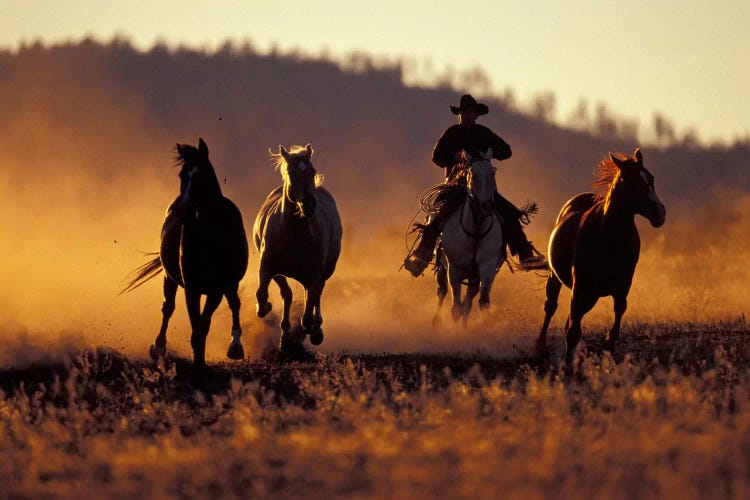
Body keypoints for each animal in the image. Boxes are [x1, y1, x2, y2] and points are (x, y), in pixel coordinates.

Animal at [123, 139, 250, 374]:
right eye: (182, 175)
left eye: (204, 175)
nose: (184, 209)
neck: (211, 235)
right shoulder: (192, 288)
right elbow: (195, 325)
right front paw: (198, 363)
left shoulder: (216, 289)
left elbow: (204, 324)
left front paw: (203, 363)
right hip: (170, 278)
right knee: (168, 308)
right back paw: (159, 347)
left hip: (230, 283)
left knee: (235, 304)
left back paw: (235, 346)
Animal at [256, 143, 344, 350]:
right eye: (291, 172)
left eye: (312, 171)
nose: (310, 205)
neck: (294, 234)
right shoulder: (268, 267)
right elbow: (263, 295)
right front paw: (267, 308)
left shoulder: (314, 273)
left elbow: (308, 310)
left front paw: (313, 329)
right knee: (288, 294)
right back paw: (286, 336)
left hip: (323, 272)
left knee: (317, 294)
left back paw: (315, 330)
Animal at [434, 148, 506, 328]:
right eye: (473, 175)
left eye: (492, 173)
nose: (485, 206)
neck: (476, 230)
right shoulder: (454, 269)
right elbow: (455, 308)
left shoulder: (487, 268)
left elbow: (481, 303)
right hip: (442, 268)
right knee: (442, 291)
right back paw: (436, 321)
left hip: (474, 277)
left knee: (467, 303)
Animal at [536, 146, 668, 366]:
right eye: (632, 181)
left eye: (651, 178)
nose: (659, 213)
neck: (608, 237)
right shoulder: (580, 286)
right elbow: (572, 329)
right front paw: (568, 365)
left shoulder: (622, 285)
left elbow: (618, 312)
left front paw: (606, 347)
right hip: (558, 279)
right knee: (550, 307)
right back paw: (540, 348)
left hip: (592, 295)